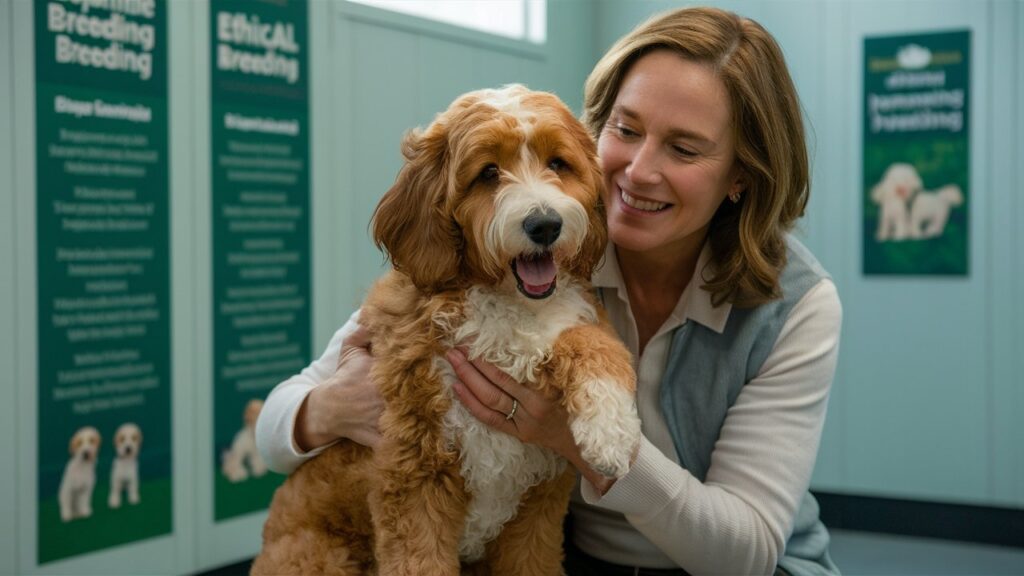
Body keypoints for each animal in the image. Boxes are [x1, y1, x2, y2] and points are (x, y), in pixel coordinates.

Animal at [251, 85, 638, 573]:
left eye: (557, 164)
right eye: (488, 172)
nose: (545, 224)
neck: (505, 305)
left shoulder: (539, 506)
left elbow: (591, 342)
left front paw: (611, 430)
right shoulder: (415, 479)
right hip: (318, 557)